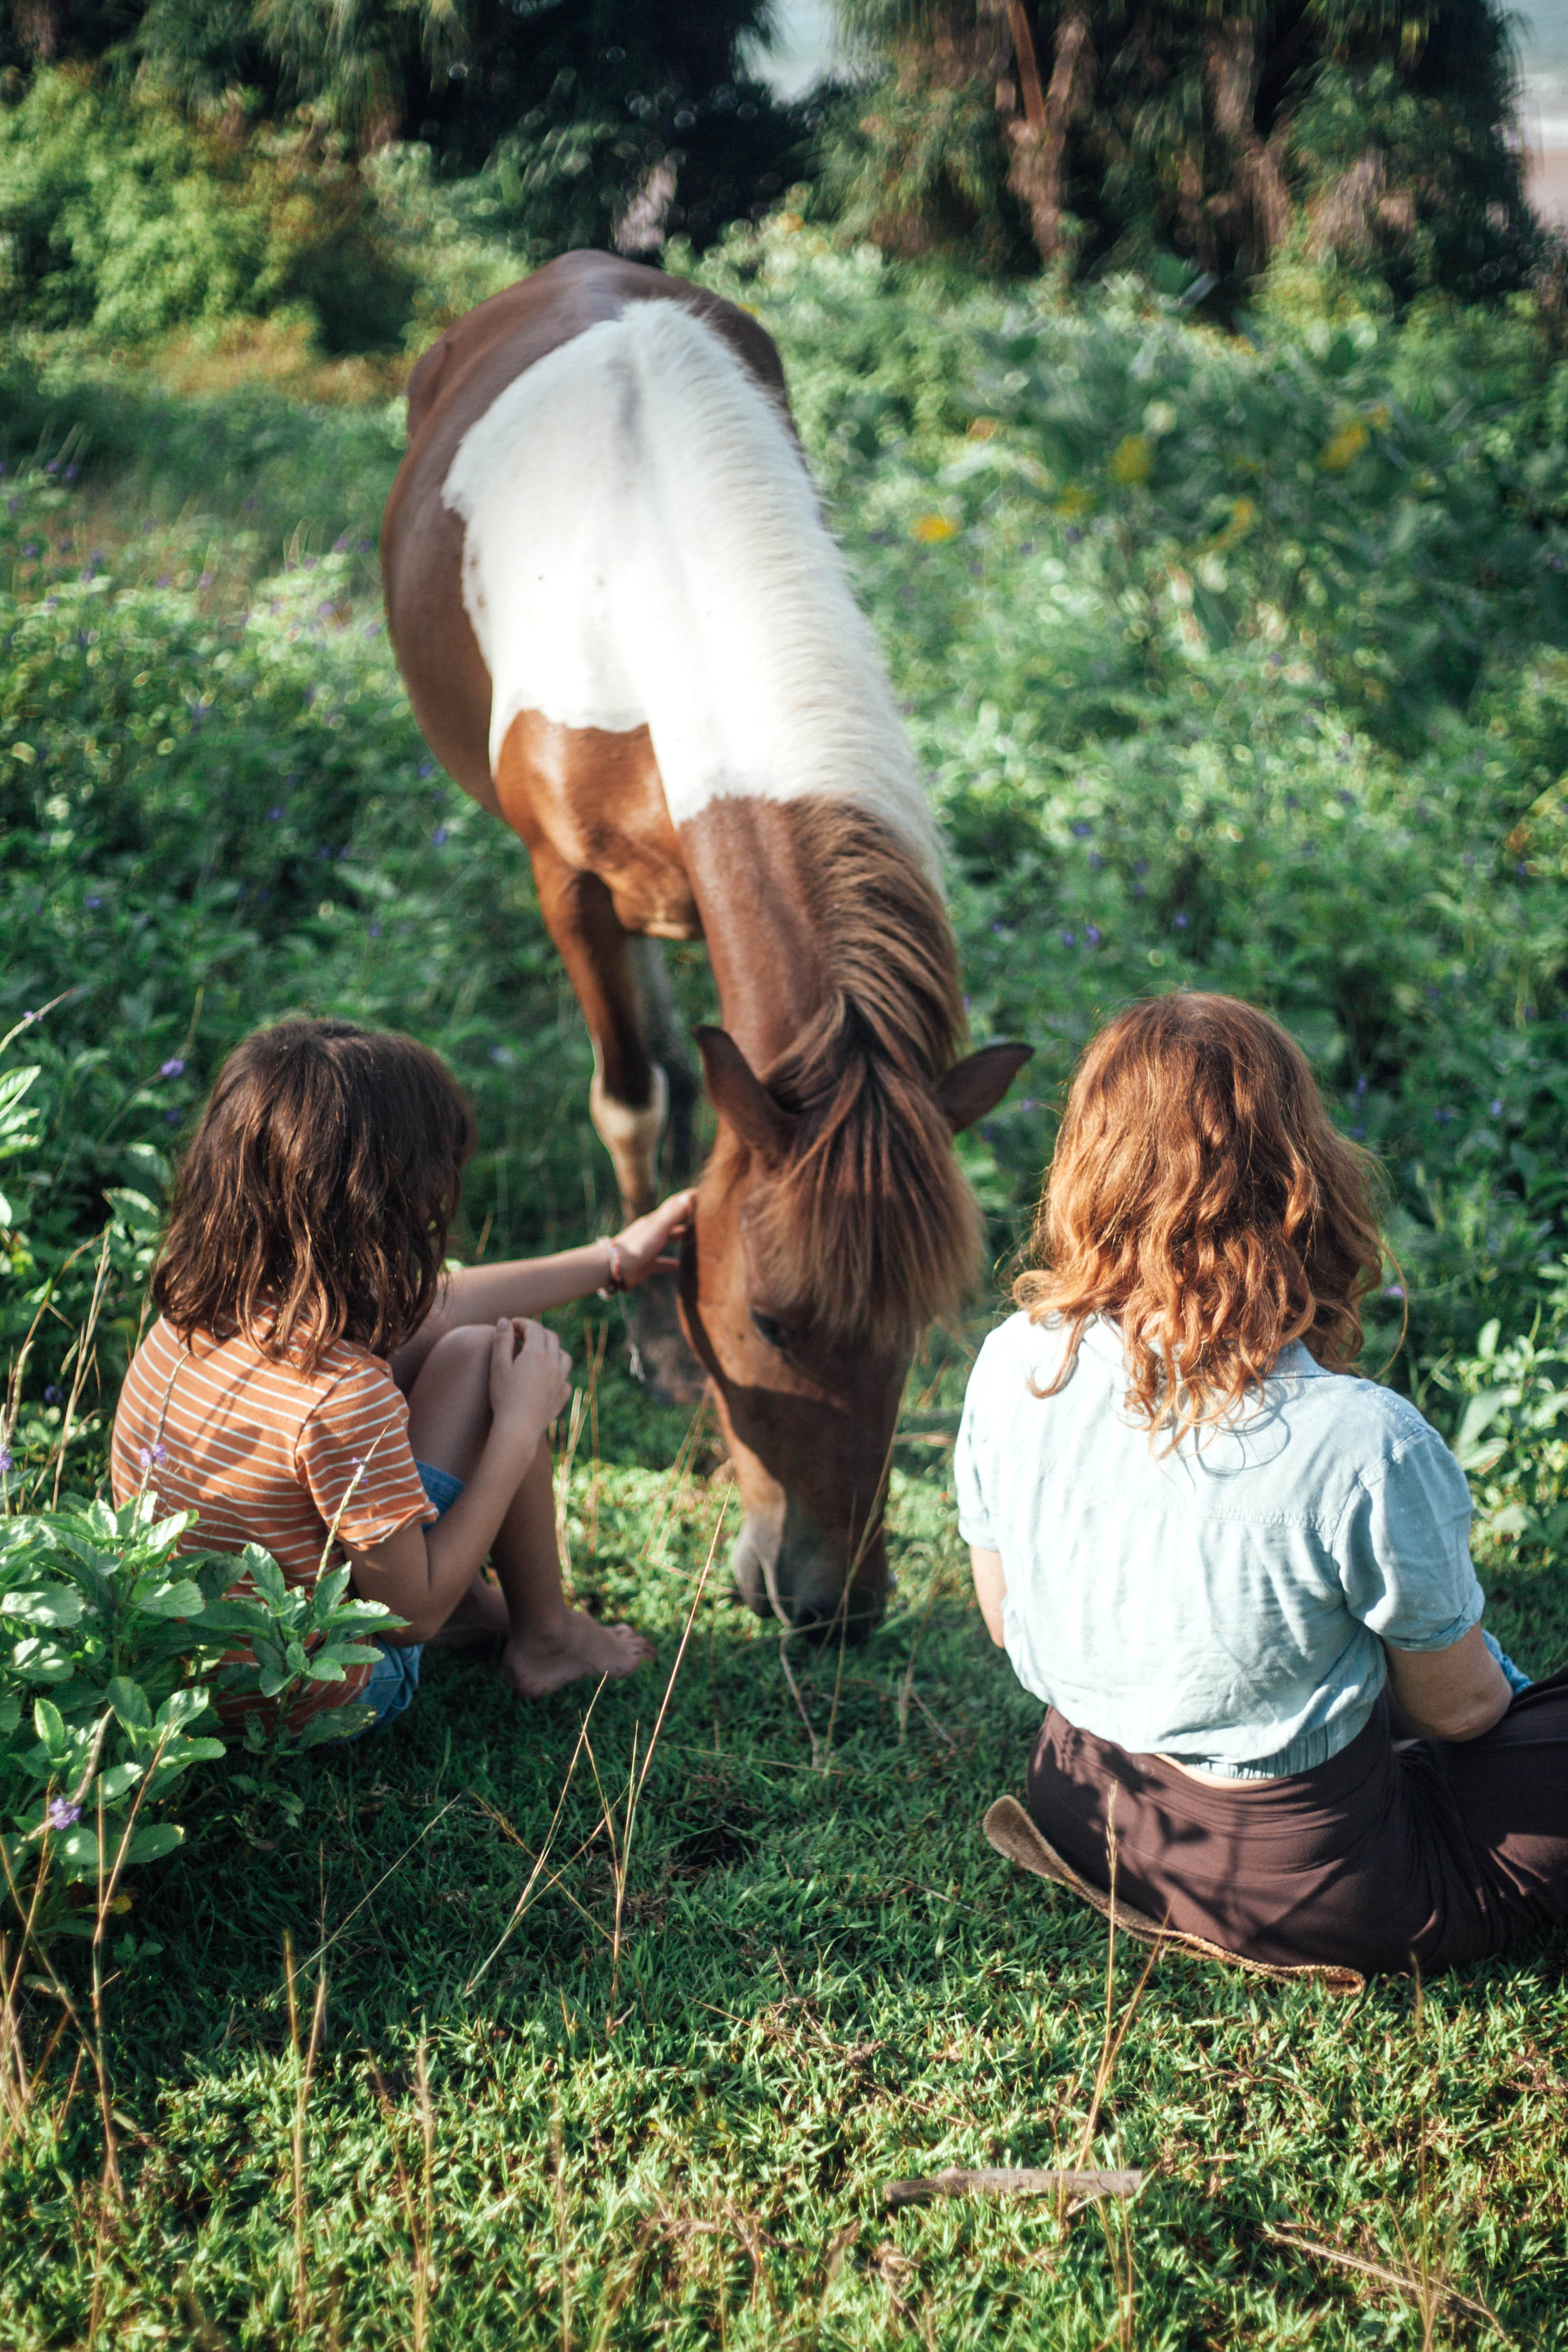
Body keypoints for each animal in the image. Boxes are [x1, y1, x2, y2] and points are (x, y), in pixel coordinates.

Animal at [381, 250, 1029, 1636]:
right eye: (775, 1323)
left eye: (917, 1330)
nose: (829, 1605)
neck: (659, 596)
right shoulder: (568, 883)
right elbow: (627, 1094)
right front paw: (660, 1344)